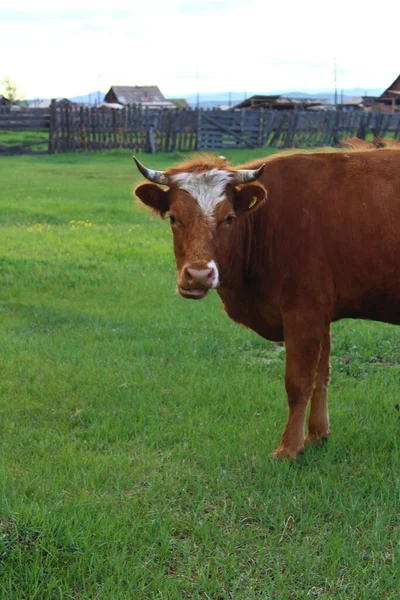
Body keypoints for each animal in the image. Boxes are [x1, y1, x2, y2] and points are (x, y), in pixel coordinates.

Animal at [134, 148, 400, 458]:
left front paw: (289, 448)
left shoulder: (304, 312)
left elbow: (298, 382)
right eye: (173, 218)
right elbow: (321, 377)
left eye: (229, 218)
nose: (199, 275)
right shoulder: (322, 315)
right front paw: (317, 434)